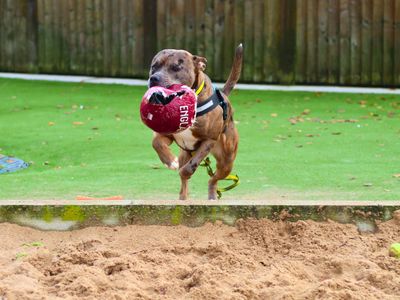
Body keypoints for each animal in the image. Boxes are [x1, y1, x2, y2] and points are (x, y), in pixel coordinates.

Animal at [147, 44, 242, 199]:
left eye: (175, 68)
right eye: (154, 66)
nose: (154, 78)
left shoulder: (208, 140)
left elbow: (191, 166)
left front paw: (184, 171)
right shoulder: (166, 134)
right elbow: (156, 143)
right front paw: (170, 161)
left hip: (227, 161)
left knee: (213, 178)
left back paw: (211, 195)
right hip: (185, 153)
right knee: (187, 185)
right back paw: (183, 198)